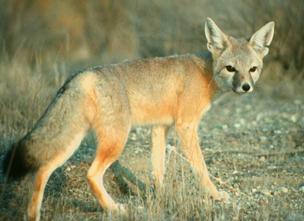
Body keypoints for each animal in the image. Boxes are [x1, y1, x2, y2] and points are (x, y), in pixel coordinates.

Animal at [2, 17, 274, 221]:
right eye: (230, 69)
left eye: (253, 69)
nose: (246, 87)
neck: (205, 74)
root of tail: (86, 73)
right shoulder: (186, 126)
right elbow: (201, 169)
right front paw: (216, 196)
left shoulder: (160, 128)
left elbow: (158, 170)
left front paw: (161, 198)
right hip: (114, 141)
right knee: (91, 174)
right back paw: (113, 208)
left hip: (73, 140)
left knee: (42, 170)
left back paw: (34, 215)